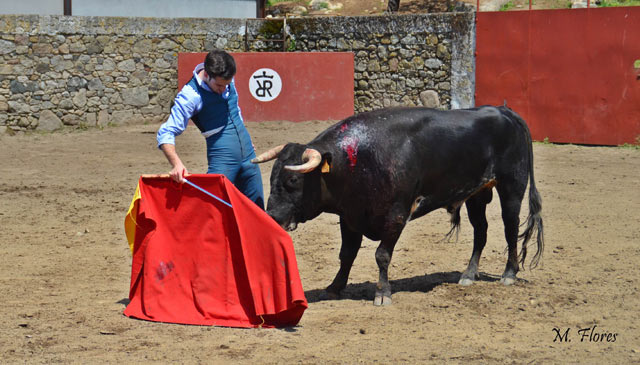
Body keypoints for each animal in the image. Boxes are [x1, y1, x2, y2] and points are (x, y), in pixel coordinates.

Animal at [252, 105, 544, 304]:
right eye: (272, 177)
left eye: (293, 179)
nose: (271, 216)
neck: (357, 160)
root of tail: (504, 111)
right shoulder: (350, 216)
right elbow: (346, 254)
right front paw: (335, 287)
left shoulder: (396, 215)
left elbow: (382, 254)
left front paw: (382, 293)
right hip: (477, 194)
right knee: (481, 232)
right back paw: (468, 275)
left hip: (512, 186)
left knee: (510, 228)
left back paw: (509, 274)